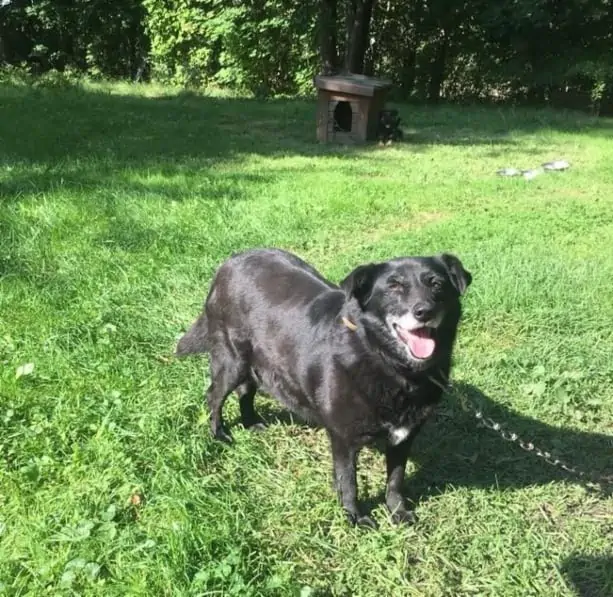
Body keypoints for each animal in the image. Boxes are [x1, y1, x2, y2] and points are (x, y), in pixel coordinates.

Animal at [176, 248, 472, 528]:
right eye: (394, 286)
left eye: (436, 284)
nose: (424, 312)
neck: (388, 363)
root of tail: (230, 262)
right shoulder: (343, 440)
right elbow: (348, 482)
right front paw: (355, 518)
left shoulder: (403, 437)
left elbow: (396, 480)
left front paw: (397, 512)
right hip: (232, 360)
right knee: (214, 395)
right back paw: (219, 433)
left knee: (245, 391)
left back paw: (251, 423)